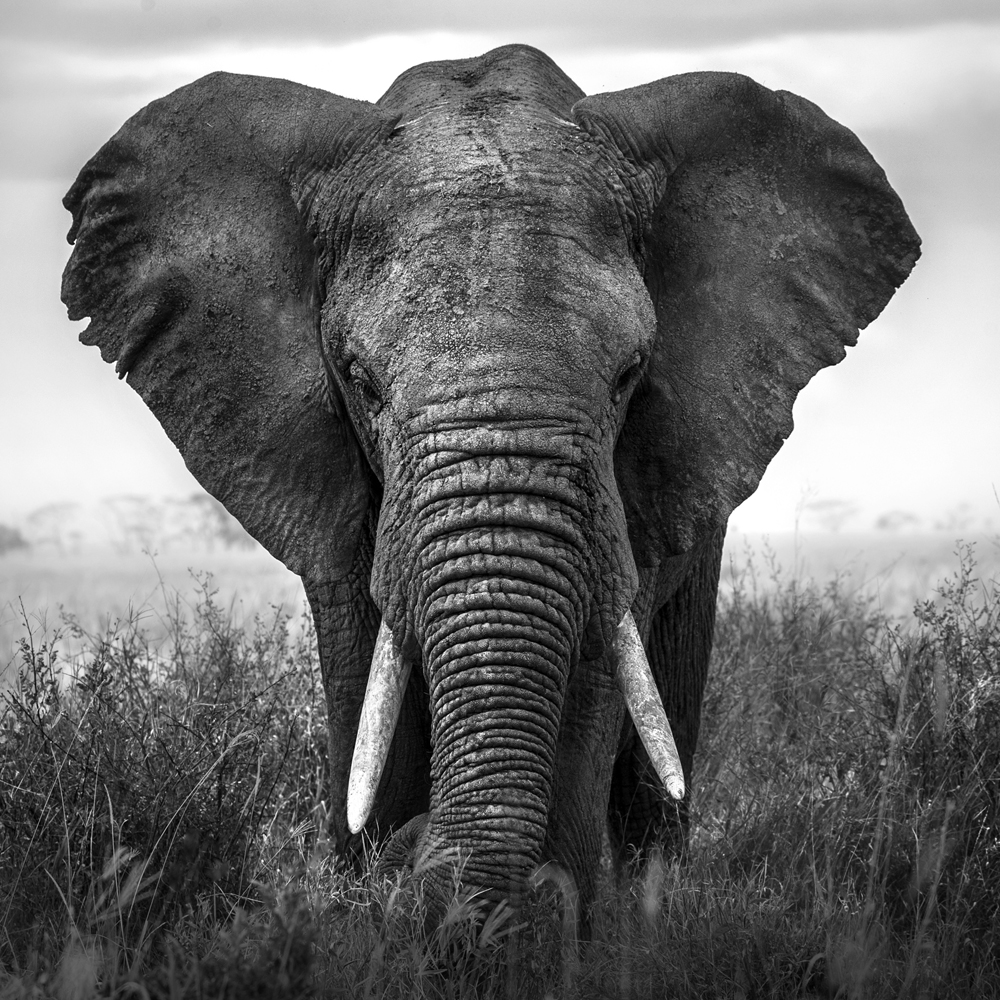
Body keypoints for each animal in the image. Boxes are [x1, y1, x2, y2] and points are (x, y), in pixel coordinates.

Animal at [61, 43, 919, 914]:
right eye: (360, 380)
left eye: (629, 375)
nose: (418, 858)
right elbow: (365, 665)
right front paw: (379, 891)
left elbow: (597, 660)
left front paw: (538, 916)